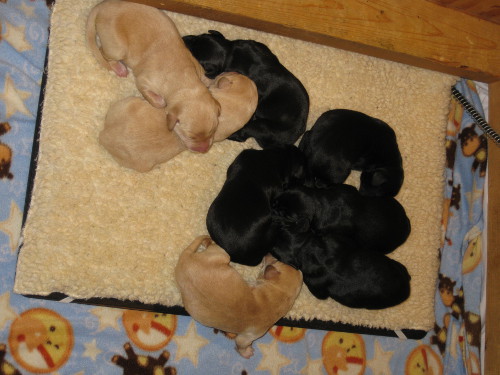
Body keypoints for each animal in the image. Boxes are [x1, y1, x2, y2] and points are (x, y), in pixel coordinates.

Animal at [87, 0, 220, 153]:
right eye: (190, 136)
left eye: (213, 130)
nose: (204, 150)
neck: (185, 81)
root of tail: (103, 5)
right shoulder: (144, 82)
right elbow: (159, 102)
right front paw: (160, 104)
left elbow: (207, 81)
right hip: (117, 49)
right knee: (102, 51)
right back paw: (119, 67)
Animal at [174, 238, 302, 358]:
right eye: (277, 260)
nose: (268, 253)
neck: (280, 294)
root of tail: (186, 259)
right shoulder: (245, 338)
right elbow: (241, 344)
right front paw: (246, 352)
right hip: (223, 255)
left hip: (220, 255)